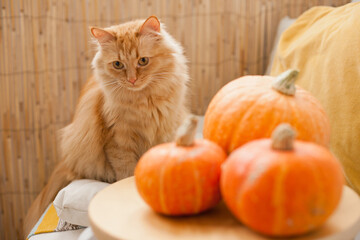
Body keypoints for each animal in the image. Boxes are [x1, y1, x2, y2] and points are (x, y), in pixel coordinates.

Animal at [24, 15, 190, 237]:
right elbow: (126, 173)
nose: (132, 79)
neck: (144, 101)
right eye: (118, 64)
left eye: (143, 61)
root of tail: (65, 163)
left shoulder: (164, 130)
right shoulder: (118, 141)